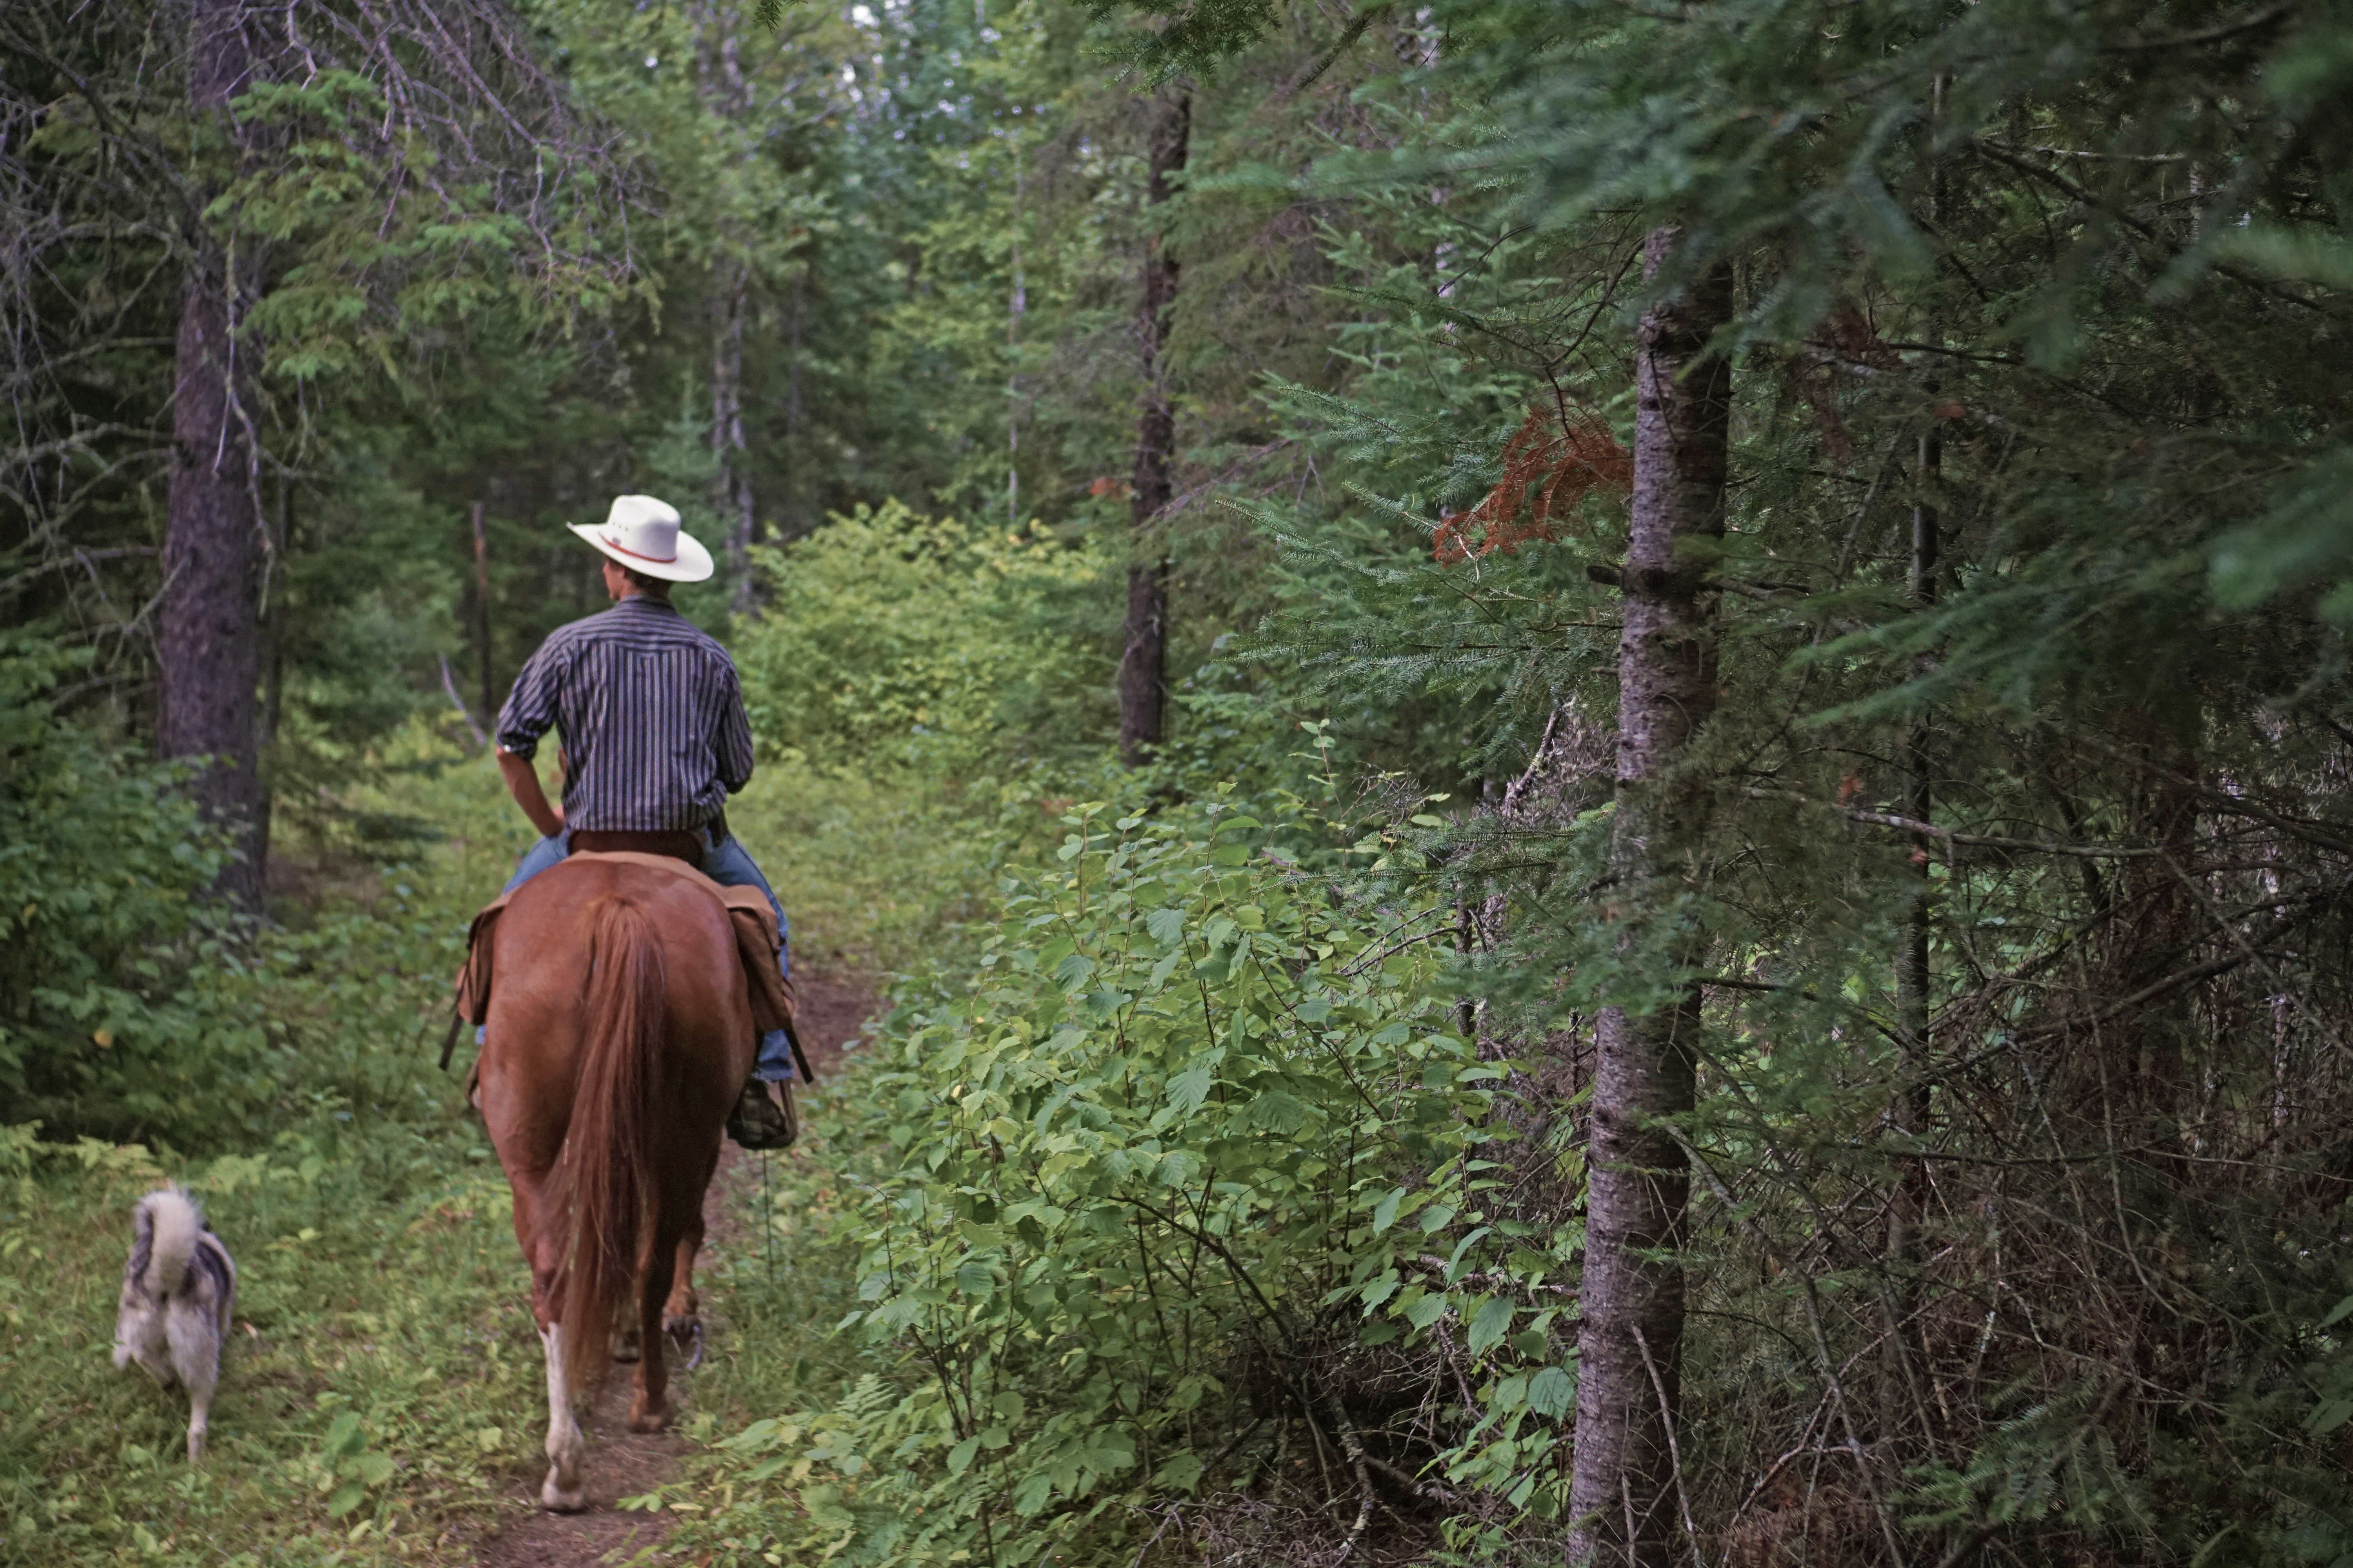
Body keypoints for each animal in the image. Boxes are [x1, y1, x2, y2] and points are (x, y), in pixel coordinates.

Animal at [112, 1186, 239, 1450]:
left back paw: (167, 1381)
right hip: (202, 1364)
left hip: (138, 1333)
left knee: (144, 1358)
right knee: (197, 1427)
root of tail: (161, 1283)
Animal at [471, 847, 744, 1506]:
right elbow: (681, 1230)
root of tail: (615, 911)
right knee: (653, 1257)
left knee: (554, 1280)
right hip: (686, 1137)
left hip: (532, 1150)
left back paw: (565, 1466)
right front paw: (670, 1317)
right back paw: (651, 1402)